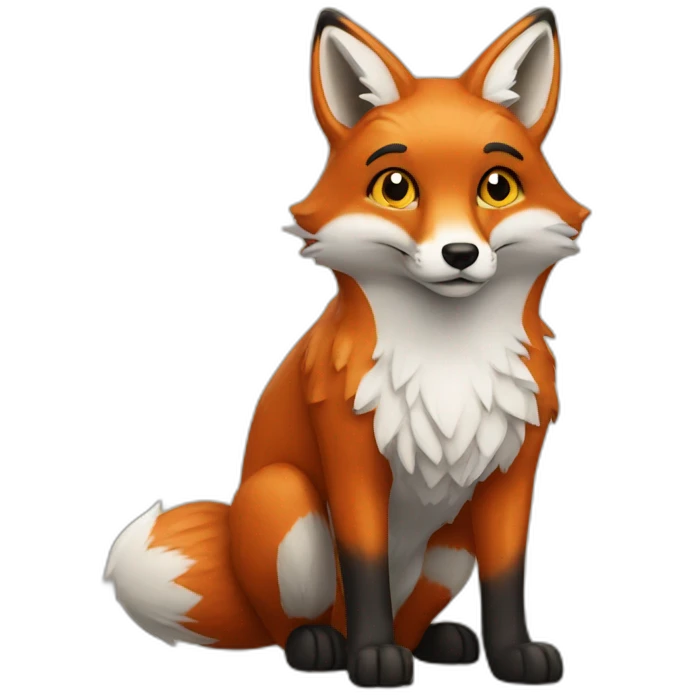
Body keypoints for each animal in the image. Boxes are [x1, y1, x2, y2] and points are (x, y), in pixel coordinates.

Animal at [105, 7, 589, 688]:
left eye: (497, 187)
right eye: (395, 187)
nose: (459, 254)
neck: (447, 361)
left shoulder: (514, 468)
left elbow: (507, 576)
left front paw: (515, 656)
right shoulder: (351, 455)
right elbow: (364, 567)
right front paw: (372, 658)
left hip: (451, 543)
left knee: (414, 616)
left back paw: (434, 643)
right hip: (286, 503)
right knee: (292, 623)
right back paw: (323, 647)